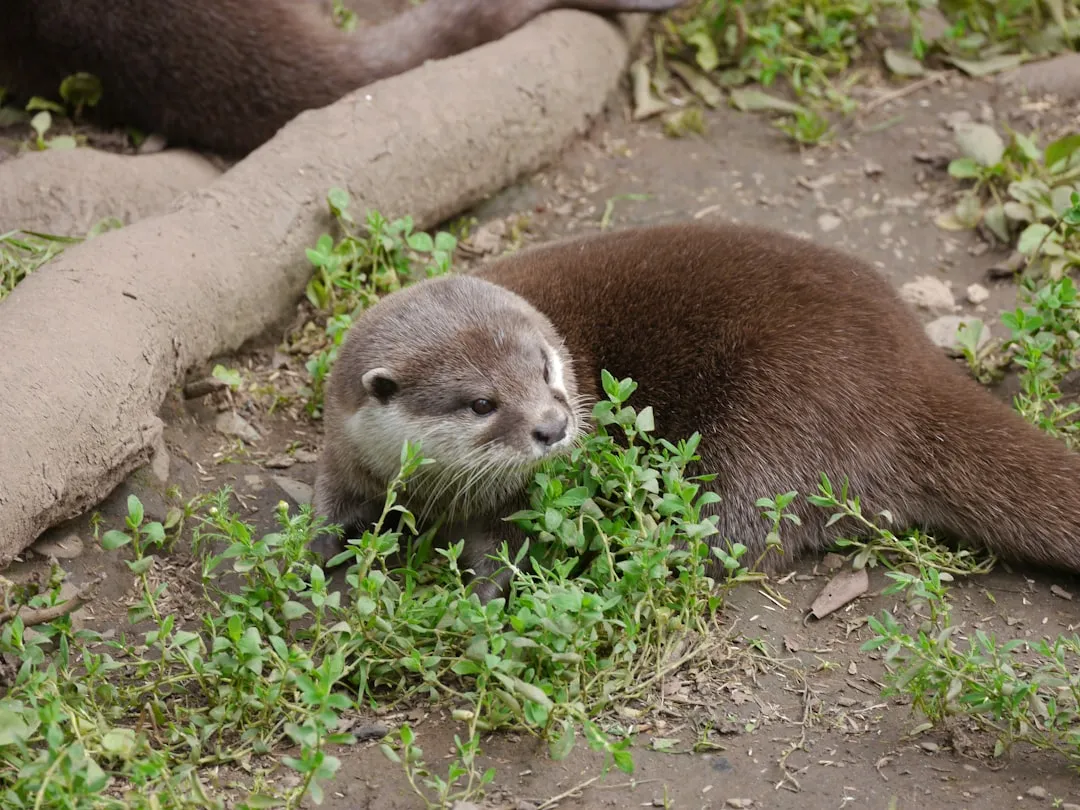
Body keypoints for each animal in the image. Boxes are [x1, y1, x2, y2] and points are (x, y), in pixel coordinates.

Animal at [313, 221, 1080, 601]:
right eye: (482, 403)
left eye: (547, 370)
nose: (554, 427)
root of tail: (913, 365)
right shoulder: (345, 447)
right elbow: (329, 502)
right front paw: (314, 551)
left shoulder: (514, 499)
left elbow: (501, 549)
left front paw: (479, 596)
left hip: (780, 414)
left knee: (732, 531)